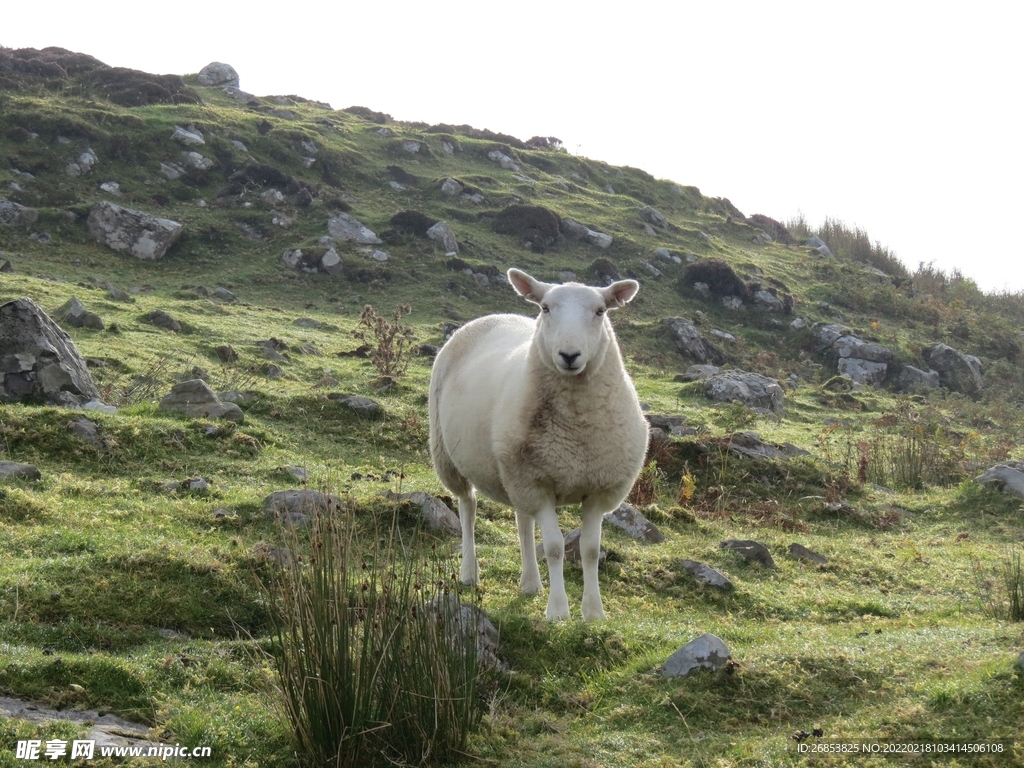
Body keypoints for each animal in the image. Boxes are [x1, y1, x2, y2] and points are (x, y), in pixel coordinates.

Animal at [432, 268, 647, 618]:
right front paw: (558, 611)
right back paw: (469, 572)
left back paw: (531, 583)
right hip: (450, 457)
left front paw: (594, 613)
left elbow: (589, 550)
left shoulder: (597, 490)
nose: (569, 355)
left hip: (515, 471)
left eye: (600, 311)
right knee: (468, 508)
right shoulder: (539, 484)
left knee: (522, 521)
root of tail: (495, 315)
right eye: (545, 308)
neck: (577, 430)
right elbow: (555, 548)